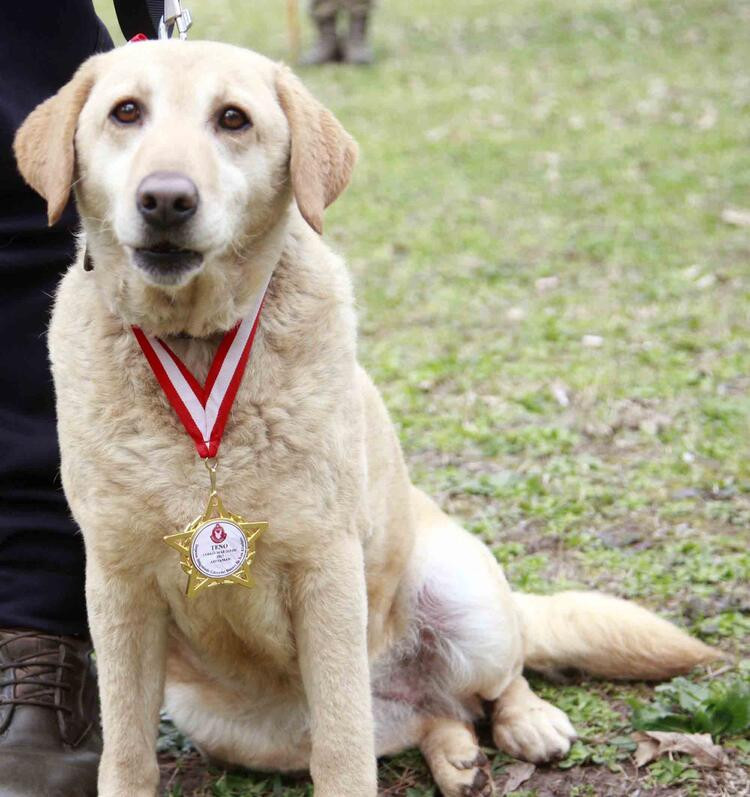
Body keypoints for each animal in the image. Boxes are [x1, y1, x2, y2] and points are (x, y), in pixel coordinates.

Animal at [14, 42, 720, 796]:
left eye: (233, 119)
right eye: (126, 112)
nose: (167, 200)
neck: (196, 350)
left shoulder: (326, 571)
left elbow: (344, 746)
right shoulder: (119, 588)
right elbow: (127, 750)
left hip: (465, 593)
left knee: (496, 680)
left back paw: (527, 721)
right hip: (239, 725)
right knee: (434, 716)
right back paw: (457, 758)